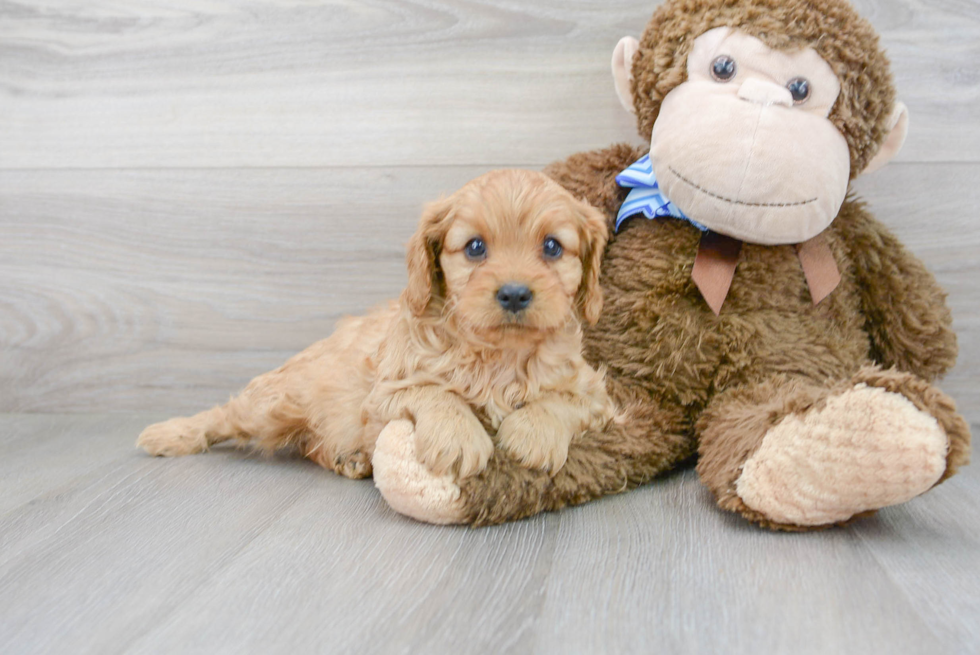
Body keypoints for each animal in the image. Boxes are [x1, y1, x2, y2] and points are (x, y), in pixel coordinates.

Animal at [140, 169, 612, 480]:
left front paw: (534, 433)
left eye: (552, 247)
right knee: (224, 415)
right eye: (475, 247)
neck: (499, 356)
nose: (514, 294)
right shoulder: (386, 390)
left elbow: (564, 400)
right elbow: (435, 392)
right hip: (274, 403)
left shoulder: (598, 395)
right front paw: (459, 437)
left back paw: (347, 458)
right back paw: (169, 432)